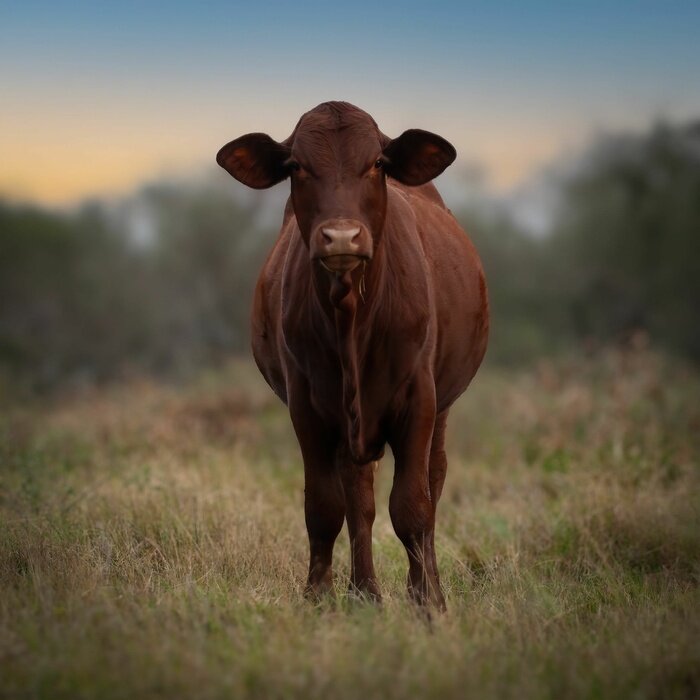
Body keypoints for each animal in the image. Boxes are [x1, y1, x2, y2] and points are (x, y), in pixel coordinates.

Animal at [217, 102, 488, 609]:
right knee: (358, 496)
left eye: (377, 163)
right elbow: (324, 507)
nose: (341, 238)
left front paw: (427, 603)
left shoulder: (419, 398)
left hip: (441, 406)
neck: (351, 320)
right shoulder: (306, 407)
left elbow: (412, 507)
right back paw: (364, 593)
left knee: (434, 480)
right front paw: (318, 599)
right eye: (296, 166)